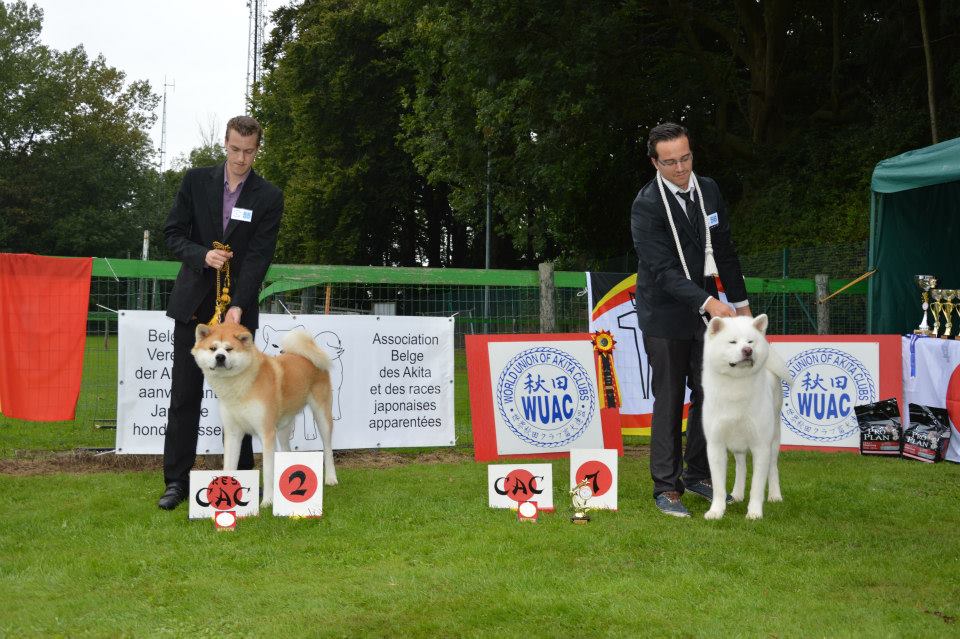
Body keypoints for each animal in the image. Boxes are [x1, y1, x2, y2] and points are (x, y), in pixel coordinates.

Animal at [700, 316, 792, 520]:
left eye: (750, 342)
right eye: (733, 342)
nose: (747, 351)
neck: (736, 386)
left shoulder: (761, 445)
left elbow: (757, 486)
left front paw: (754, 513)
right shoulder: (716, 444)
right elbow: (718, 486)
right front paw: (716, 511)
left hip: (774, 439)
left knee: (773, 467)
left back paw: (775, 495)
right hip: (738, 443)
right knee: (741, 466)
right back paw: (737, 494)